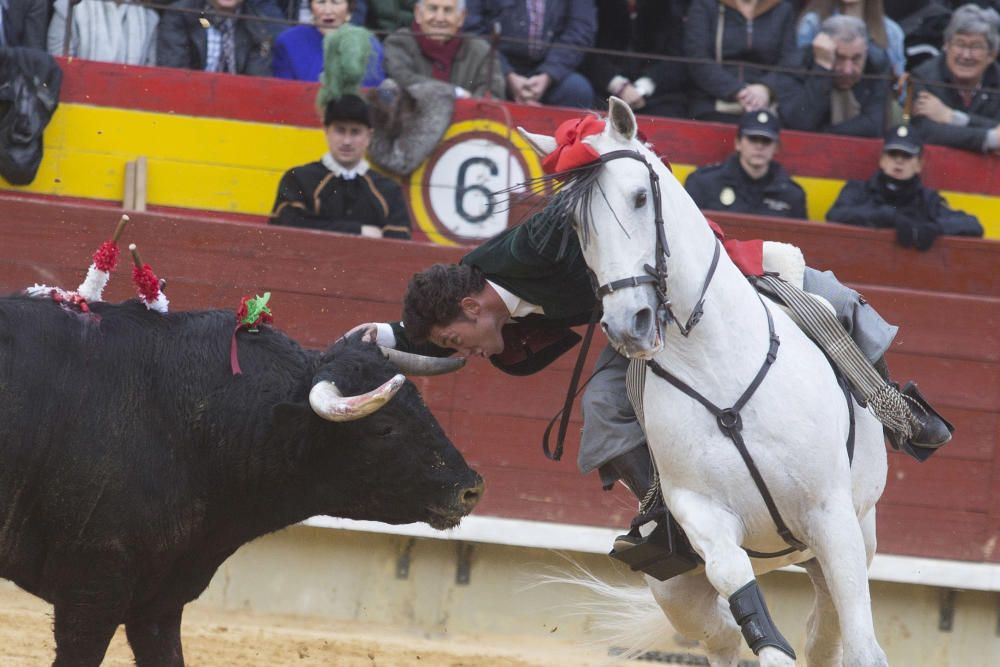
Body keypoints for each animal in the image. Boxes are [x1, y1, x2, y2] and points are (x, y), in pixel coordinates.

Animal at [520, 100, 888, 667]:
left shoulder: (832, 516)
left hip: (850, 538)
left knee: (826, 630)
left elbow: (862, 642)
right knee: (724, 634)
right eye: (576, 224)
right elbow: (734, 580)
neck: (714, 360)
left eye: (640, 196)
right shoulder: (701, 513)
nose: (628, 323)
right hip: (675, 590)